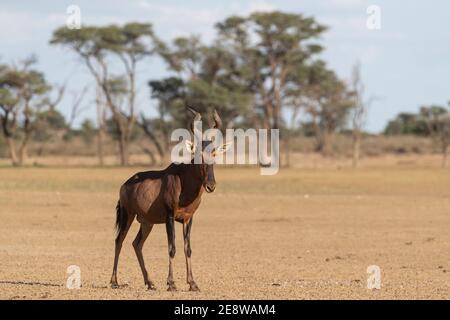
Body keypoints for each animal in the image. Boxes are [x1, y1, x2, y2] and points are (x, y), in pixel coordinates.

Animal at [108, 108, 229, 292]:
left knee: (137, 244)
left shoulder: (188, 219)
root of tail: (125, 184)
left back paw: (150, 283)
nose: (211, 185)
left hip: (147, 222)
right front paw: (171, 283)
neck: (183, 180)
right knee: (119, 241)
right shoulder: (169, 216)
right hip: (127, 215)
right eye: (198, 153)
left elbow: (188, 249)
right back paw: (114, 281)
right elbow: (172, 248)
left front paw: (193, 284)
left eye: (214, 153)